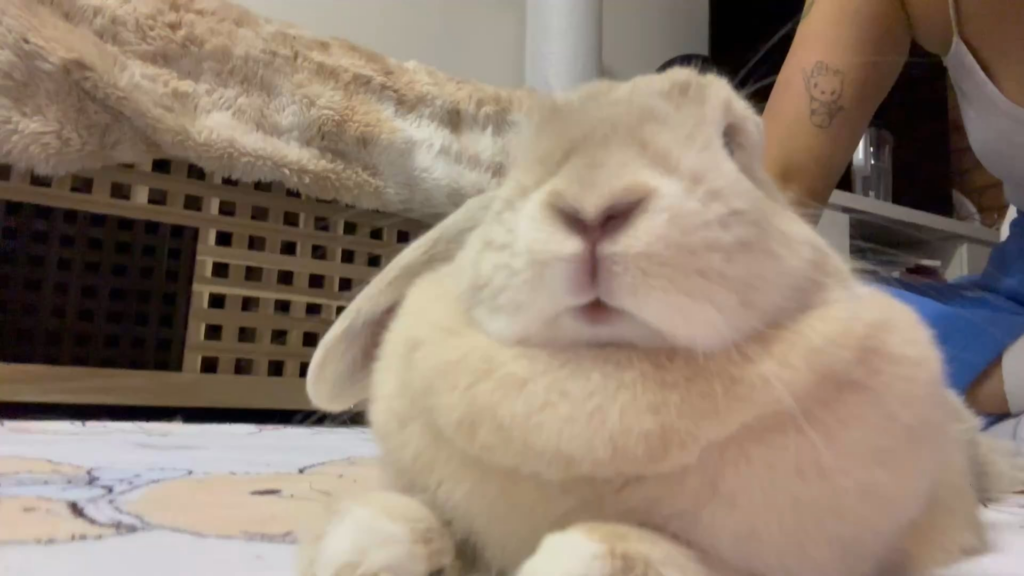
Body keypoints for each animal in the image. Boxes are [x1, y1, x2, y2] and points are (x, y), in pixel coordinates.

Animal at [300, 67, 1022, 576]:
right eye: (517, 166)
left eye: (732, 144)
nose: (592, 208)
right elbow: (403, 516)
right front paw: (358, 551)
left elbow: (623, 549)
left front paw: (563, 556)